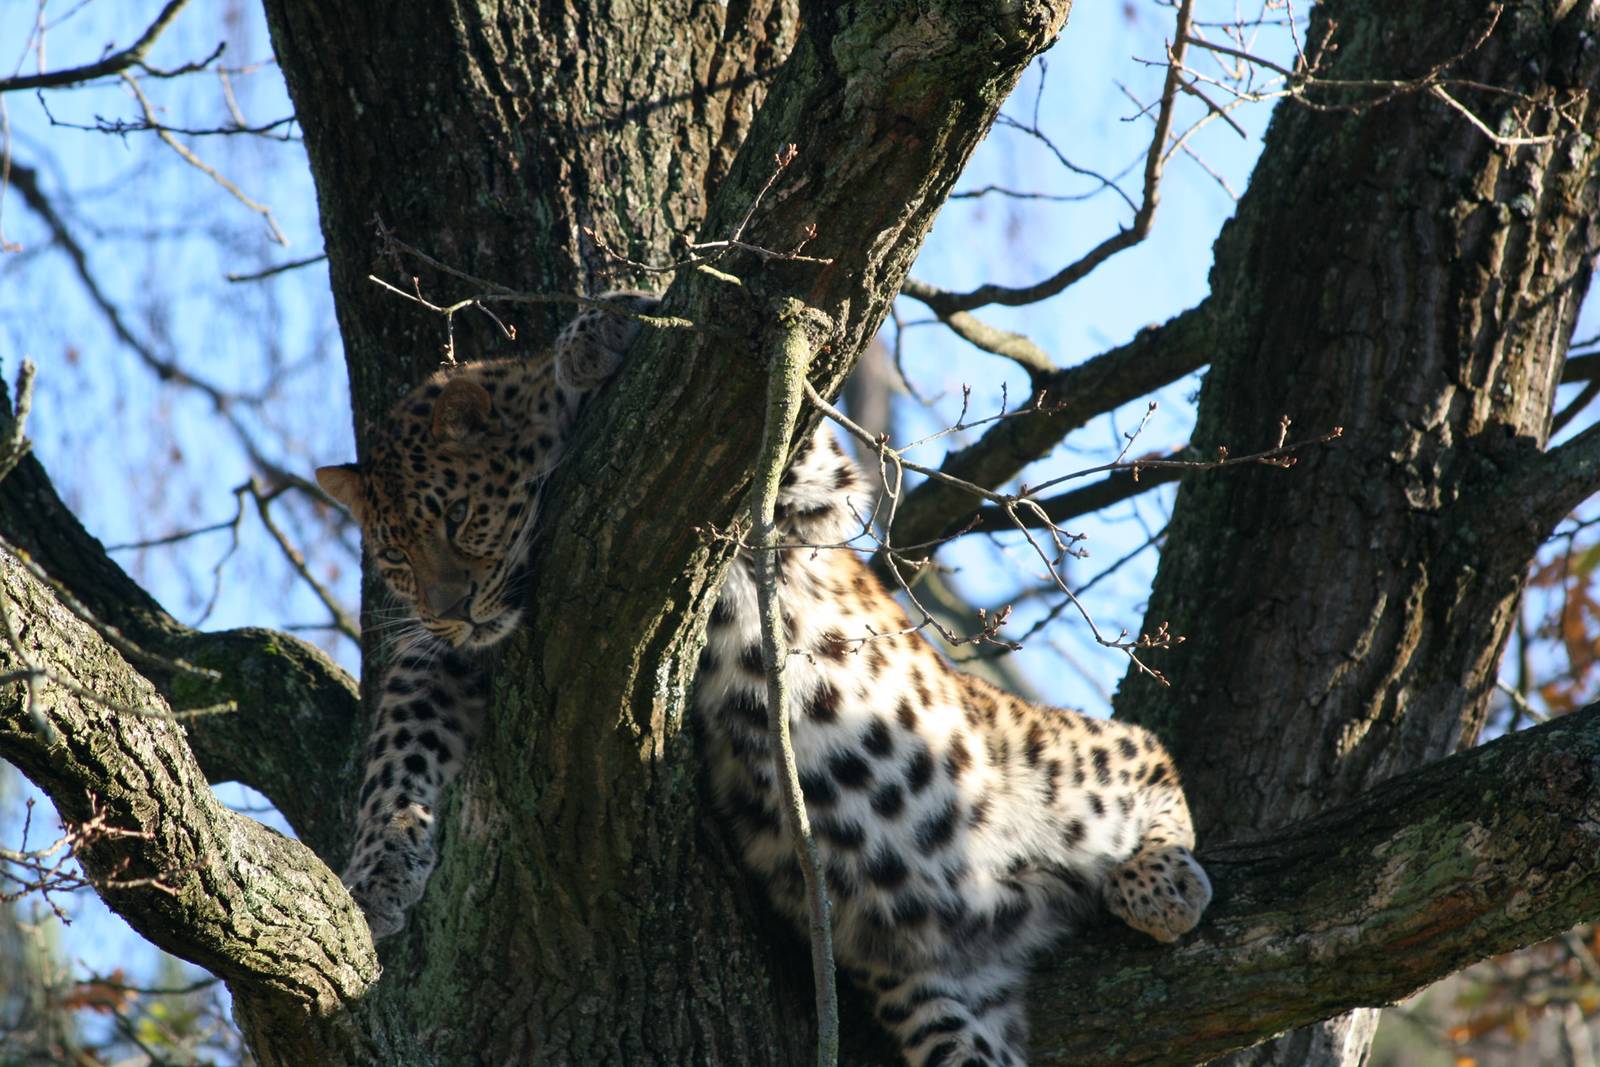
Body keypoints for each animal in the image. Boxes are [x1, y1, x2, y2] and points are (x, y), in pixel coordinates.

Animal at [317, 293, 1212, 1067]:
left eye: (458, 519)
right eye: (396, 554)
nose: (446, 609)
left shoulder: (811, 505)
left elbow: (788, 437)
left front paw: (600, 334)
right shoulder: (449, 656)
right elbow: (400, 740)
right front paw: (377, 876)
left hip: (1039, 753)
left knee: (1146, 752)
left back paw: (1162, 881)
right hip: (939, 1000)